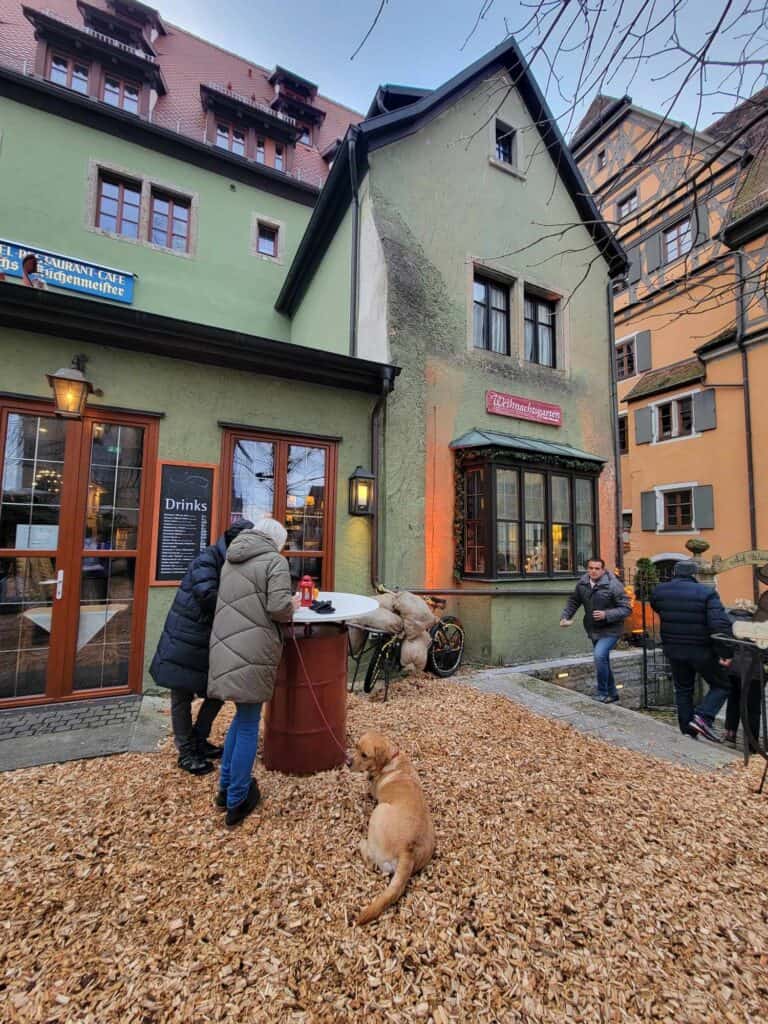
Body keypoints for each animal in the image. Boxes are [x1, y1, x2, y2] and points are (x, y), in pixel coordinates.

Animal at [352, 733, 436, 925]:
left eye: (364, 755)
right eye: (355, 746)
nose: (347, 762)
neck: (391, 758)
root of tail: (408, 849)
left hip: (378, 811)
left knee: (370, 862)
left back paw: (361, 843)